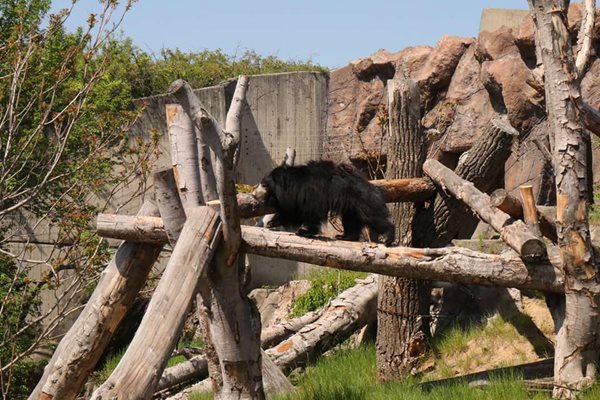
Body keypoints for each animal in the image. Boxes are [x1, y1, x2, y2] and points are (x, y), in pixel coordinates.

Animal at [252, 161, 396, 245]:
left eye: (264, 184)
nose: (253, 194)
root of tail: (364, 180)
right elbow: (290, 212)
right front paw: (272, 222)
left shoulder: (310, 194)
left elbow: (310, 213)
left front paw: (304, 231)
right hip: (351, 205)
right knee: (351, 220)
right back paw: (345, 236)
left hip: (361, 198)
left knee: (372, 216)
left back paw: (388, 237)